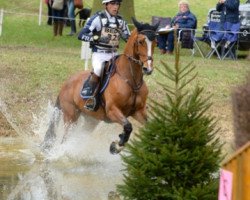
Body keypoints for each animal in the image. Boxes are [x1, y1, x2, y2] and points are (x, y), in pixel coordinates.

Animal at [41, 18, 158, 153]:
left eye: (155, 42)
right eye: (140, 41)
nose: (147, 69)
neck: (130, 79)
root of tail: (65, 84)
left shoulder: (138, 111)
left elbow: (150, 128)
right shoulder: (112, 111)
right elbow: (128, 126)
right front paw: (117, 145)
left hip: (90, 120)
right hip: (71, 116)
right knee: (65, 138)